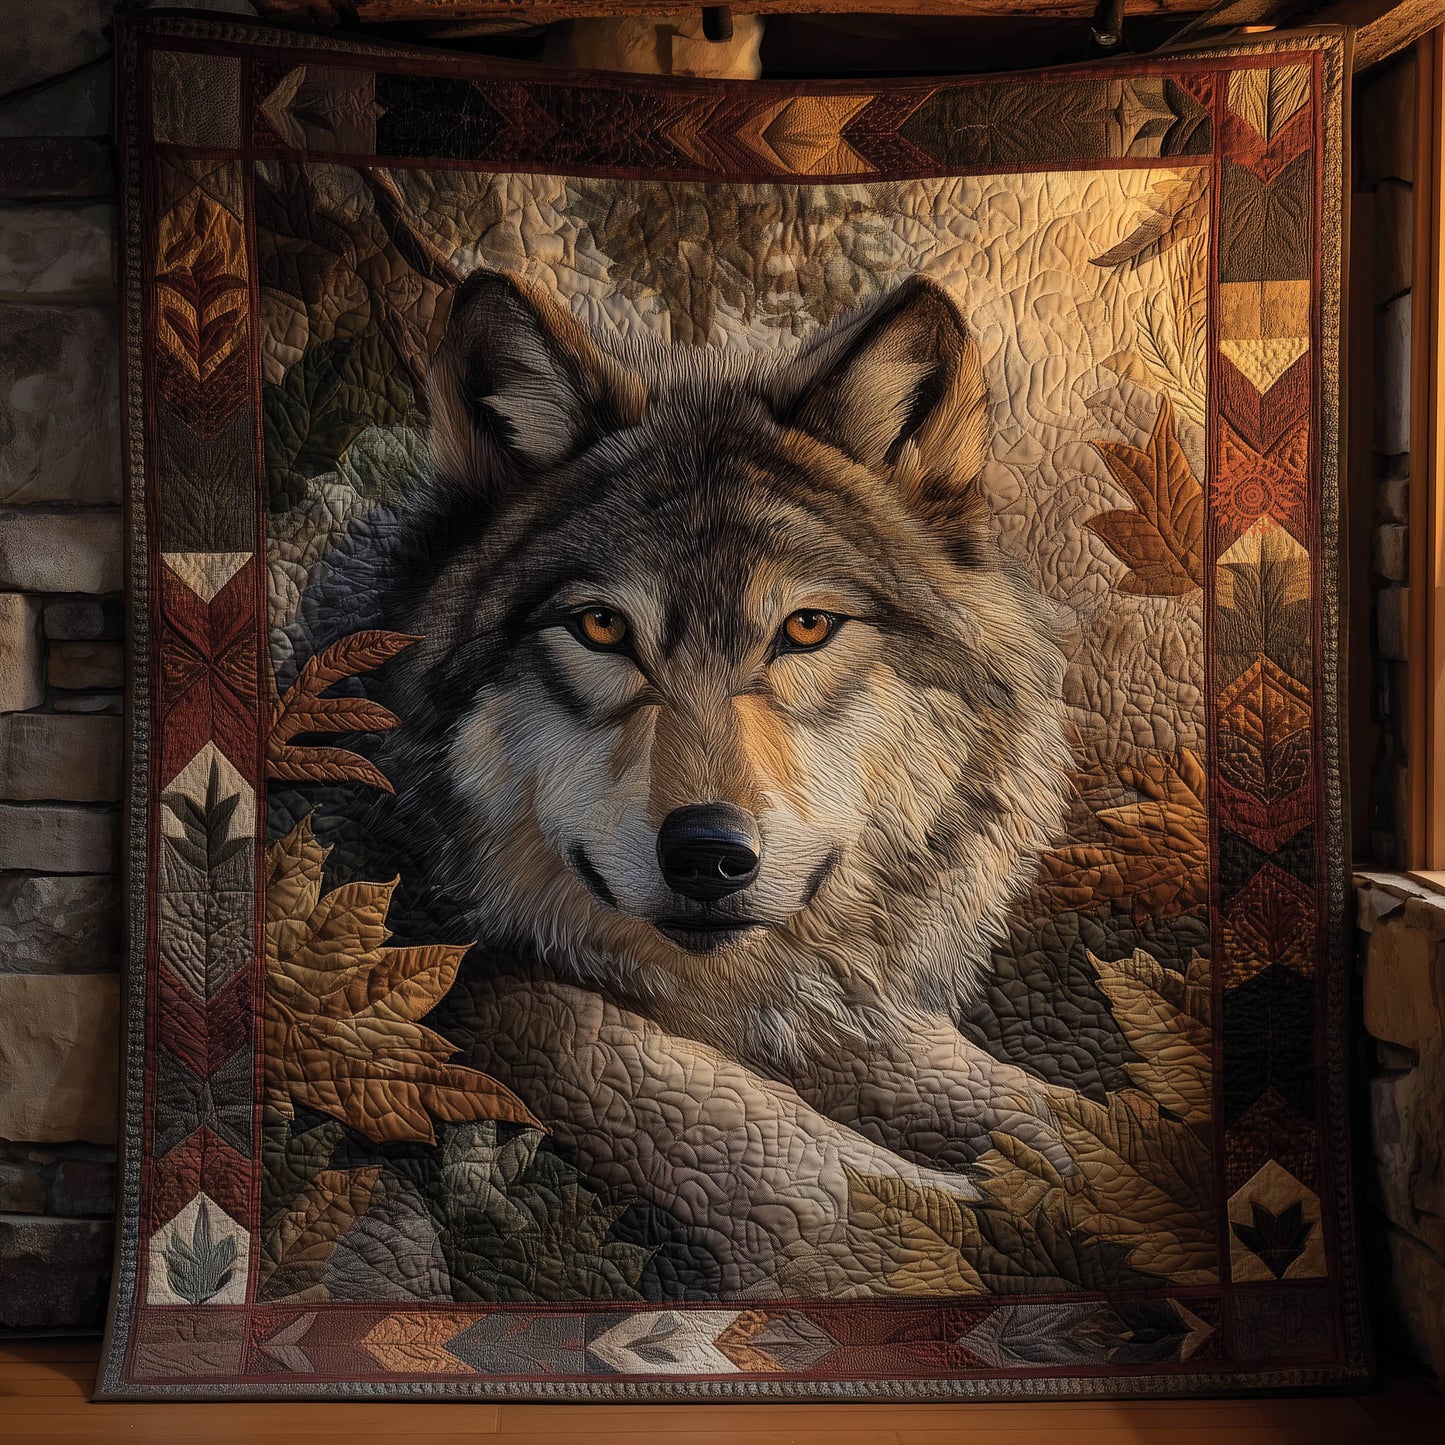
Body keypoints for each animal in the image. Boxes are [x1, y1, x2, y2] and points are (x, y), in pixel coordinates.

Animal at [372, 266, 1071, 1174]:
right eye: (601, 627)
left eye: (805, 628)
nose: (706, 854)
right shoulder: (485, 984)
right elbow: (733, 1120)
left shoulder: (842, 1010)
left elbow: (1017, 1099)